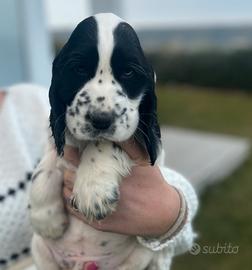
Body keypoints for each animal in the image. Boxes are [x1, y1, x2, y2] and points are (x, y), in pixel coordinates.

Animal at [29, 13, 163, 270]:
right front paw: (45, 218)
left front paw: (93, 190)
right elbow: (47, 162)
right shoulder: (59, 139)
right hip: (41, 252)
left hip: (139, 256)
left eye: (129, 72)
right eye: (79, 68)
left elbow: (105, 143)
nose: (101, 119)